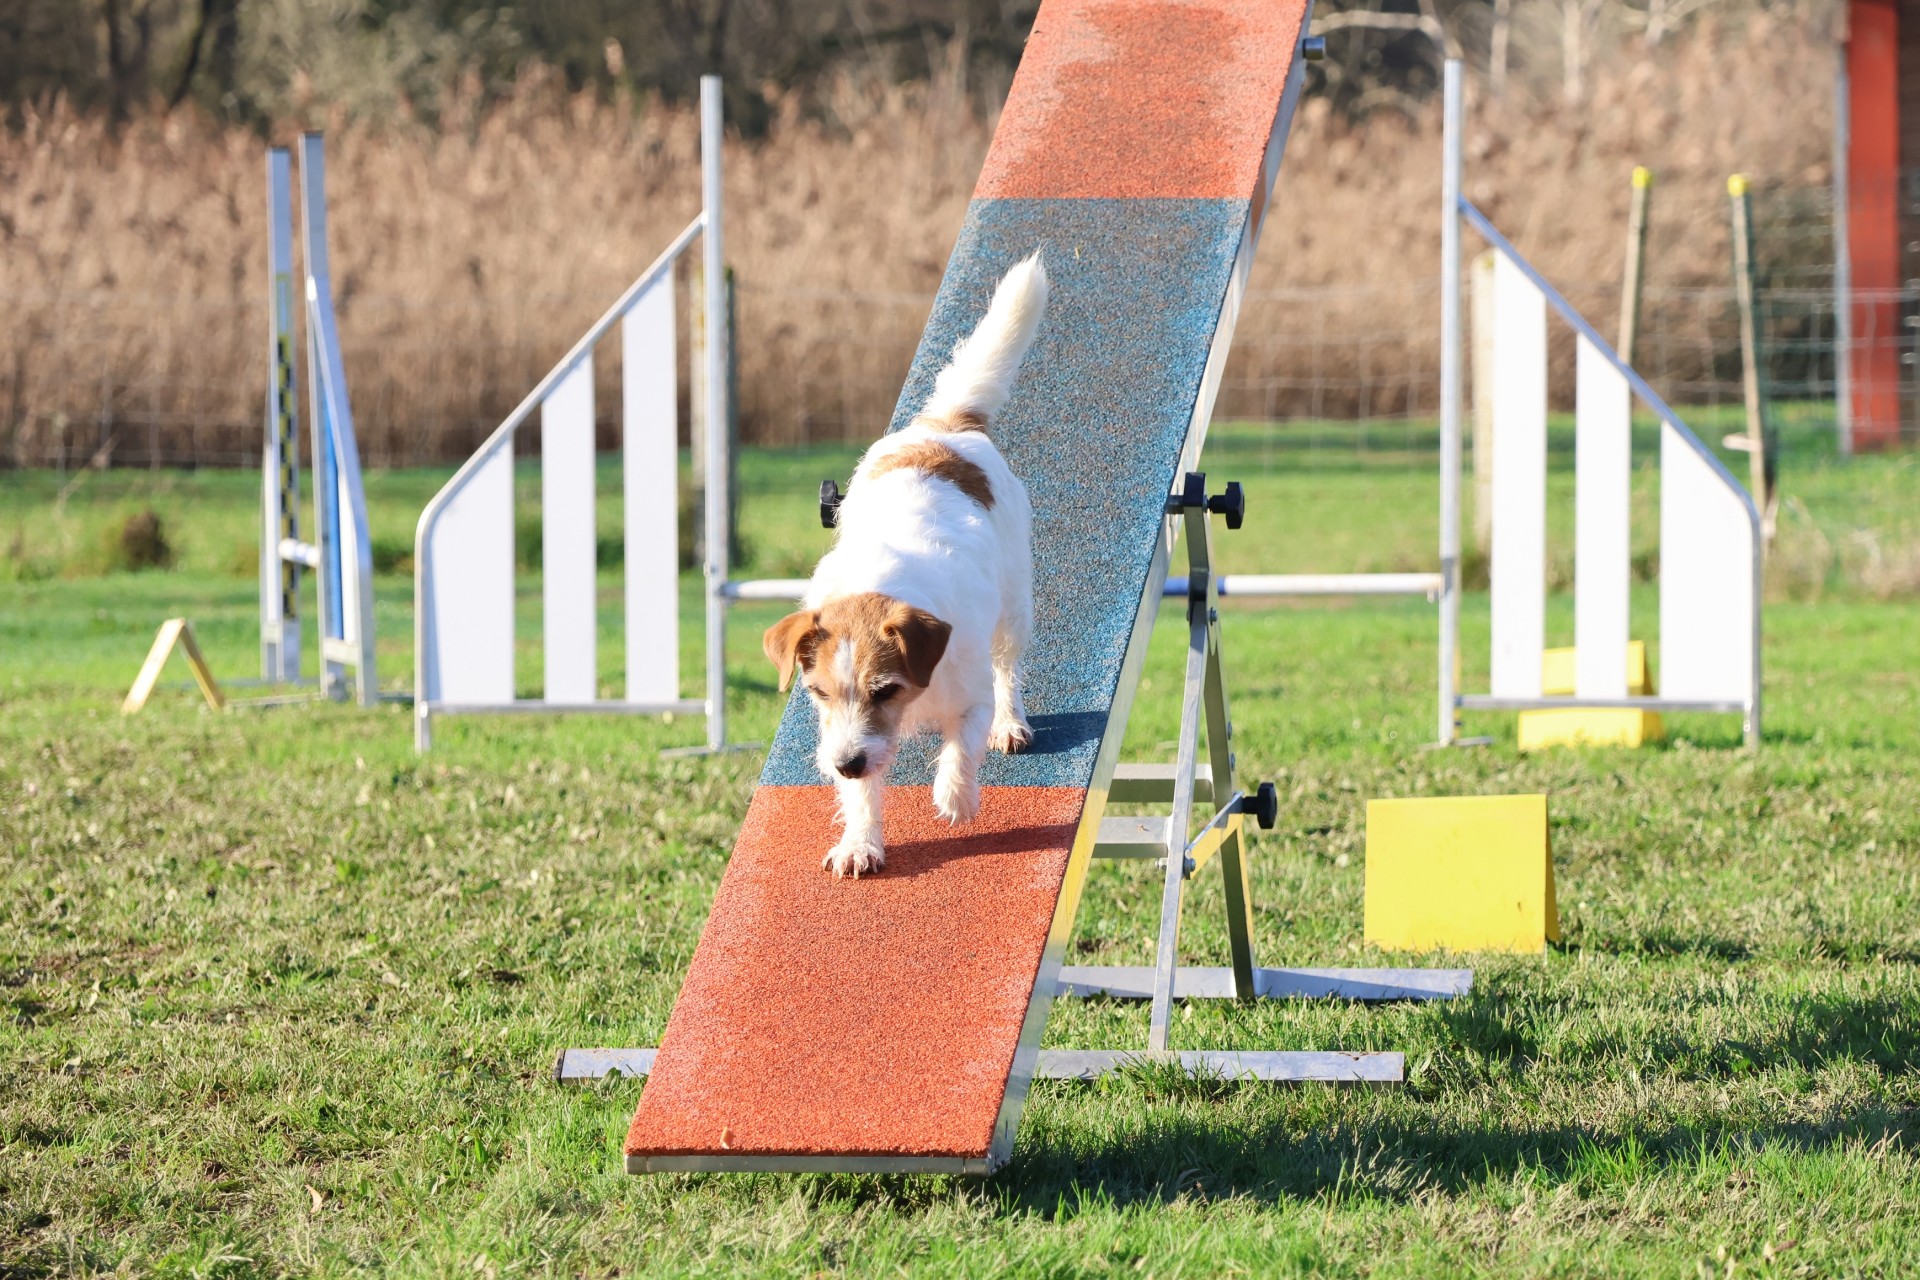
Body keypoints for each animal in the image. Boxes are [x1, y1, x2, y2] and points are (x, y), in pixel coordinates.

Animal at [760, 255, 1052, 875]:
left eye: (885, 690)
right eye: (818, 693)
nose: (844, 764)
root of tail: (945, 426)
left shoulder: (968, 696)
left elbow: (961, 745)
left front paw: (955, 795)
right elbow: (862, 794)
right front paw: (860, 841)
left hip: (1015, 609)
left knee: (1009, 669)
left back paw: (1010, 723)